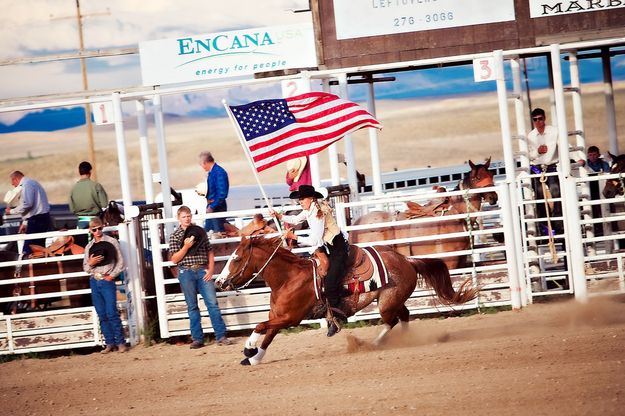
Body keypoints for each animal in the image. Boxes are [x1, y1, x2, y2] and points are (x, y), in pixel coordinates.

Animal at [216, 236, 478, 366]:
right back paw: (403, 340)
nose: (219, 282)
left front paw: (248, 348)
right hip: (392, 299)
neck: (288, 278)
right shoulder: (278, 317)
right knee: (404, 316)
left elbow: (260, 326)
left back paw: (375, 344)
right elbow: (268, 335)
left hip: (386, 303)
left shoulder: (290, 318)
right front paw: (254, 358)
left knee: (391, 321)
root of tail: (407, 260)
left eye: (236, 258)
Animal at [348, 158, 494, 270]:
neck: (457, 214)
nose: (493, 196)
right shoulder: (450, 261)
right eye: (477, 177)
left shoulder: (461, 261)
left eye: (491, 175)